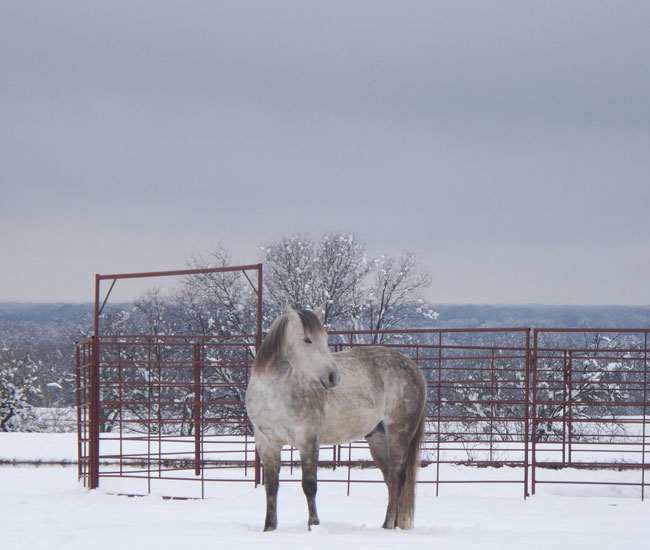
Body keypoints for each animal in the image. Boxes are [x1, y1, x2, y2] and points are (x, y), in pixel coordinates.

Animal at [245, 307, 427, 532]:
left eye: (325, 338)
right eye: (307, 339)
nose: (333, 376)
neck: (274, 393)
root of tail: (414, 368)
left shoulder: (307, 441)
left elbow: (309, 485)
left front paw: (313, 525)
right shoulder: (266, 443)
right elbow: (271, 486)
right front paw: (269, 528)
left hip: (398, 434)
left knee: (397, 477)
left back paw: (386, 525)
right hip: (378, 438)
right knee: (390, 481)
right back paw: (391, 524)